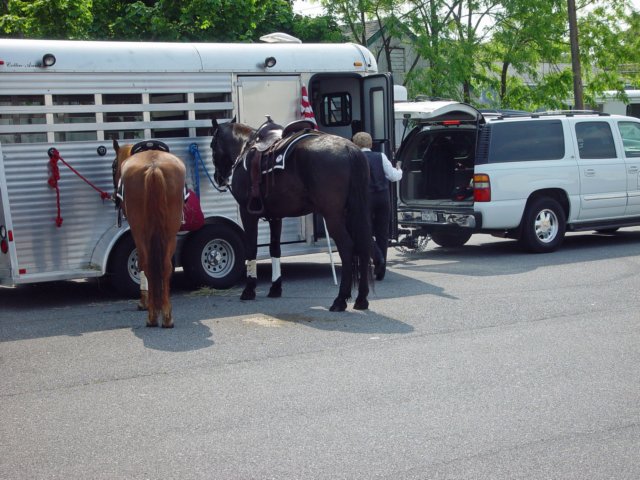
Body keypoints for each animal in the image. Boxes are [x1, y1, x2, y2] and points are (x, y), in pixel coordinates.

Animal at [112, 139, 185, 326]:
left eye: (114, 166)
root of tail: (154, 167)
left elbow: (140, 264)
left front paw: (143, 302)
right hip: (170, 233)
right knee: (166, 266)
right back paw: (166, 315)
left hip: (139, 231)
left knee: (146, 264)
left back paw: (152, 315)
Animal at [210, 118, 370, 314]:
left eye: (212, 145)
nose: (218, 178)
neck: (246, 147)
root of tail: (349, 148)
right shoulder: (275, 217)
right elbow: (274, 249)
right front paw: (275, 288)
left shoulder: (247, 213)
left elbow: (251, 249)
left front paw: (249, 290)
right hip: (354, 214)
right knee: (364, 246)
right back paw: (361, 299)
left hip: (333, 217)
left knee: (347, 247)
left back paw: (340, 300)